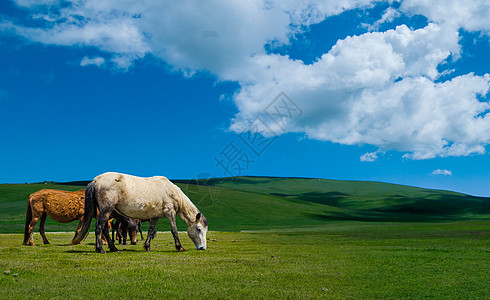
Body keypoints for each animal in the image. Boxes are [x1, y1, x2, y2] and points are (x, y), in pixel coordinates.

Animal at [72, 172, 209, 254]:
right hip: (106, 210)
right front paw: (179, 247)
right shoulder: (170, 212)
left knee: (105, 229)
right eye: (198, 229)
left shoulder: (155, 217)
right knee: (99, 227)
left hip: (106, 212)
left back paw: (113, 248)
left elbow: (150, 231)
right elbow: (174, 230)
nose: (203, 248)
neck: (170, 190)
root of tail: (95, 181)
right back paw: (100, 249)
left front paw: (147, 246)